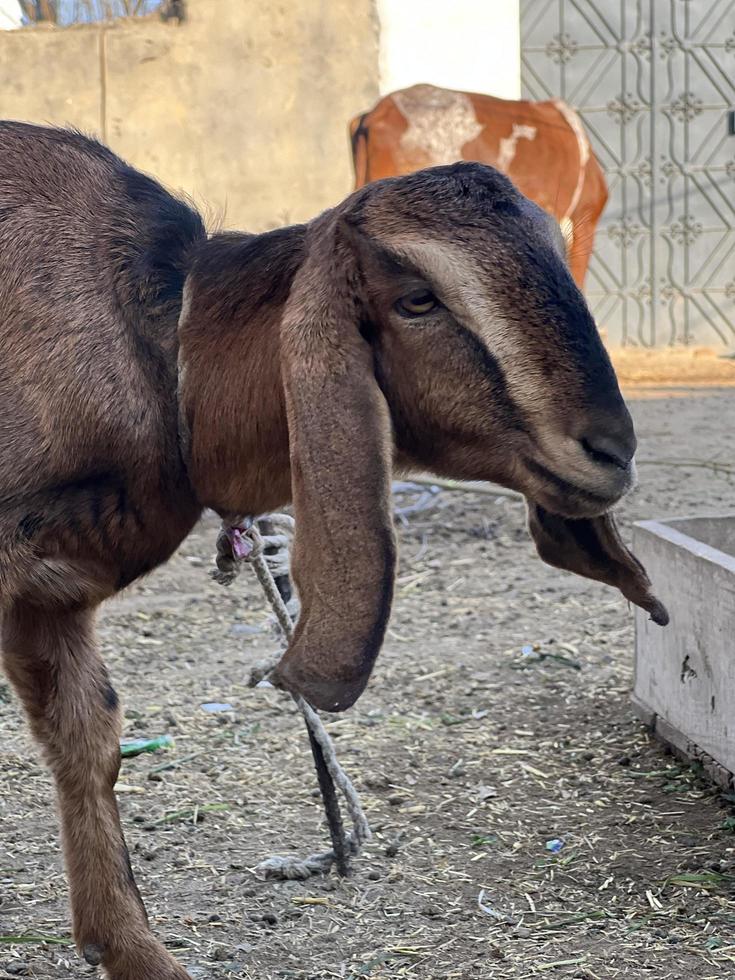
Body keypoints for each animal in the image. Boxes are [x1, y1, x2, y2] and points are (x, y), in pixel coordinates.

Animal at [0, 124, 668, 980]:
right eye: (415, 299)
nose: (611, 452)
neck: (161, 350)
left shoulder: (49, 591)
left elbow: (90, 740)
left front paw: (133, 951)